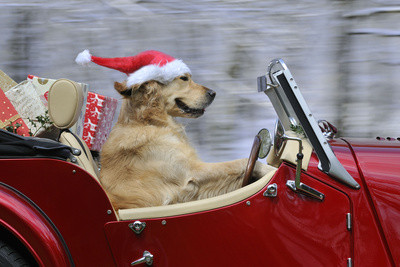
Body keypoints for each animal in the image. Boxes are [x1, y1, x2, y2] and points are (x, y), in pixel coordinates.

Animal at [99, 73, 276, 209]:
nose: (213, 92)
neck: (148, 121)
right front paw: (273, 171)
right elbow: (242, 162)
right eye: (184, 78)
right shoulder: (192, 172)